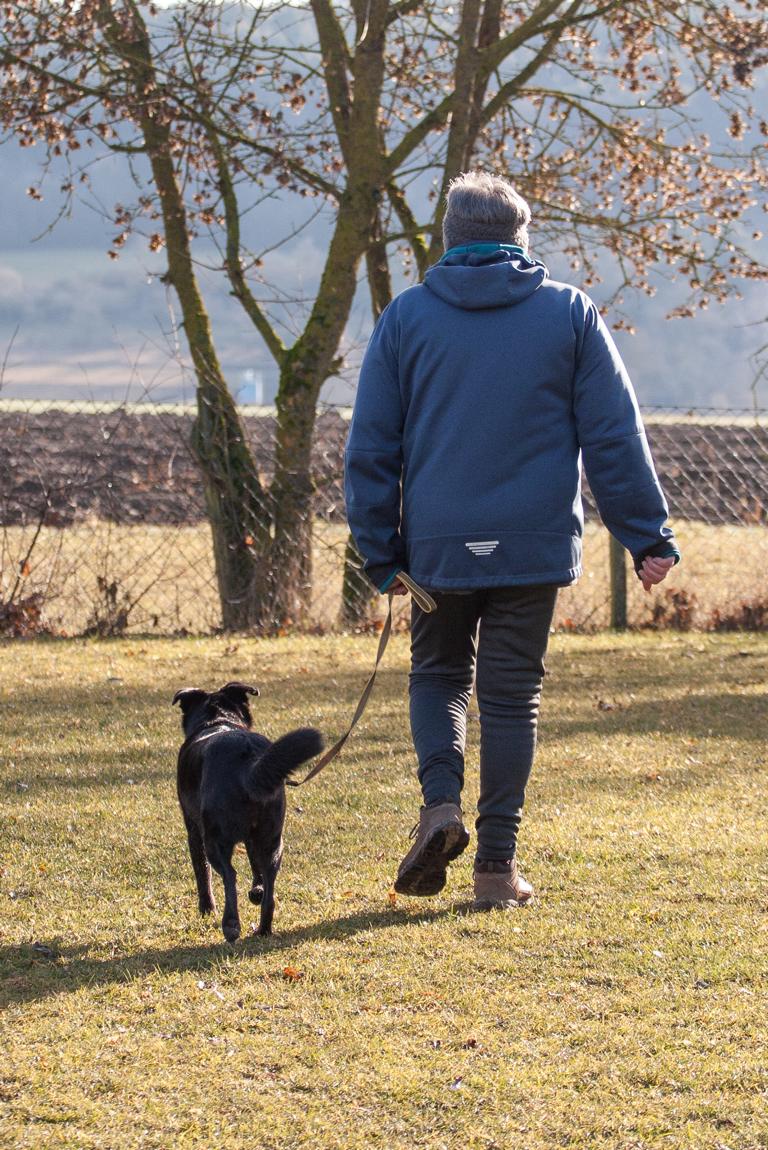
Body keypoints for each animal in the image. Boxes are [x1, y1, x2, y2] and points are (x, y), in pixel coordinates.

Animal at [173, 681, 323, 940]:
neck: (217, 720)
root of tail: (248, 761)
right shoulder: (254, 838)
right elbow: (256, 867)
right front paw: (256, 892)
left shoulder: (194, 831)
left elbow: (202, 872)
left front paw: (206, 909)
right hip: (273, 839)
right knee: (269, 883)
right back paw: (263, 927)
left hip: (215, 839)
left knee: (229, 875)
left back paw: (231, 925)